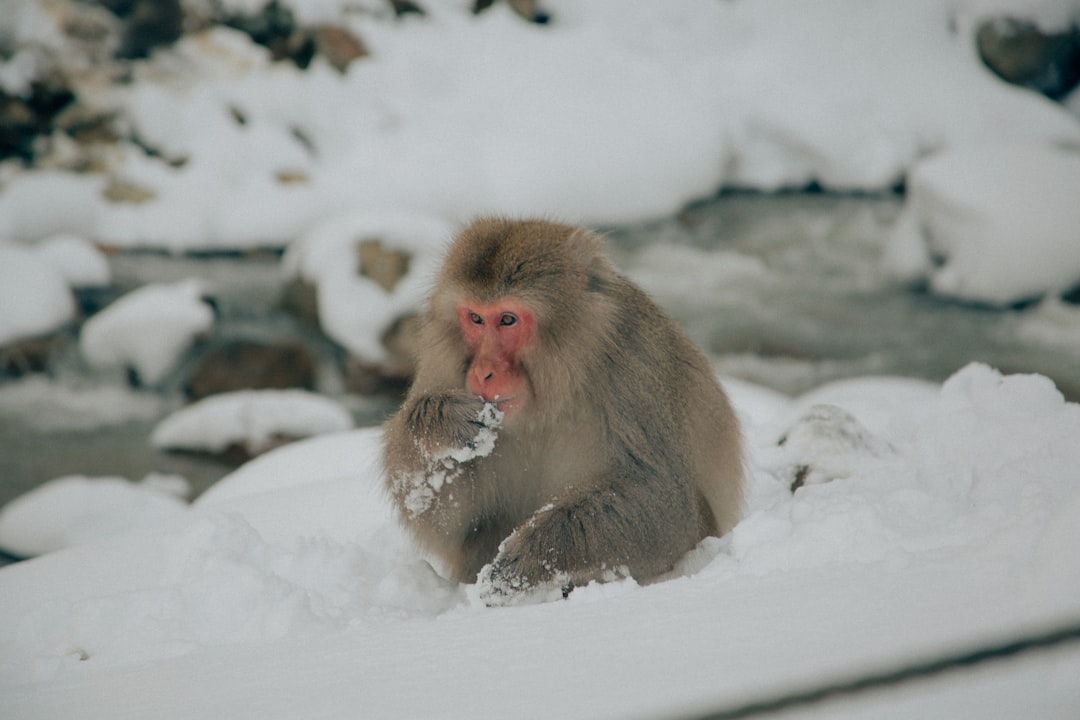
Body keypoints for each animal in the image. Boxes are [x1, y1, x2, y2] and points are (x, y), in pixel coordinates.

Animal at [382, 218, 742, 603]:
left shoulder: (635, 364)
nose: (482, 373)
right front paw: (440, 425)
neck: (552, 392)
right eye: (476, 319)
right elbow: (449, 523)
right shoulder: (444, 366)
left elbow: (665, 502)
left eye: (507, 320)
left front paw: (530, 559)